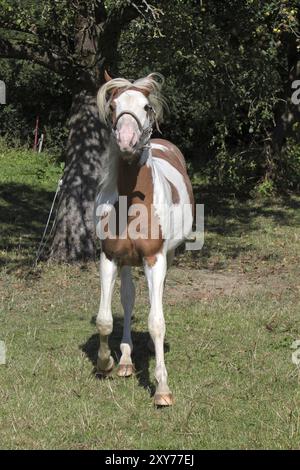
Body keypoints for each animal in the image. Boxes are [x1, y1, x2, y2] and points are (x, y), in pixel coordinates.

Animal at [94, 71, 195, 406]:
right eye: (113, 106)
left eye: (147, 107)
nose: (126, 140)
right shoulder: (109, 257)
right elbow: (105, 318)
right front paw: (106, 363)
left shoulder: (155, 258)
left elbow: (156, 321)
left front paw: (162, 389)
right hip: (127, 262)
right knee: (127, 298)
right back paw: (125, 361)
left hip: (168, 257)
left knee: (157, 297)